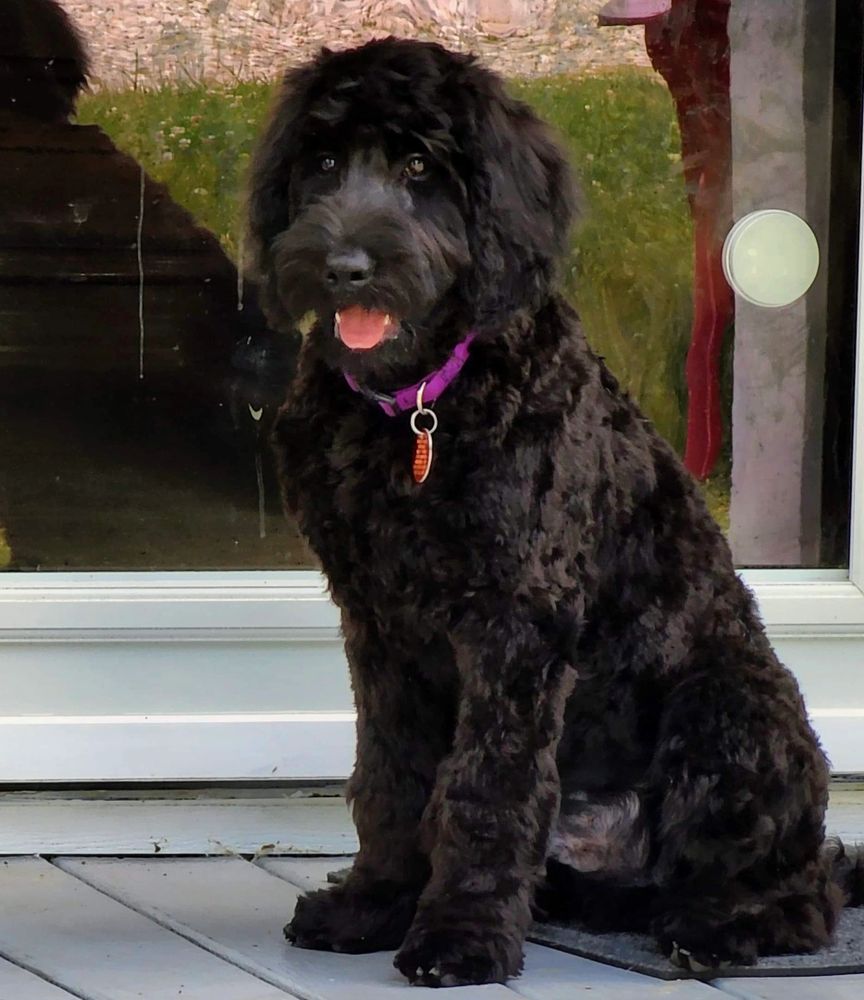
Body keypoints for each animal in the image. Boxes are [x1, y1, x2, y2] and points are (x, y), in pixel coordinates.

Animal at [248, 37, 856, 984]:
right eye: (323, 163)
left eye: (420, 167)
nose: (344, 267)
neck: (422, 406)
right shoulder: (377, 624)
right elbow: (391, 774)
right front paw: (374, 905)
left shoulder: (517, 623)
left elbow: (486, 788)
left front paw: (458, 936)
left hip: (728, 702)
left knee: (802, 890)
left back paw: (717, 927)